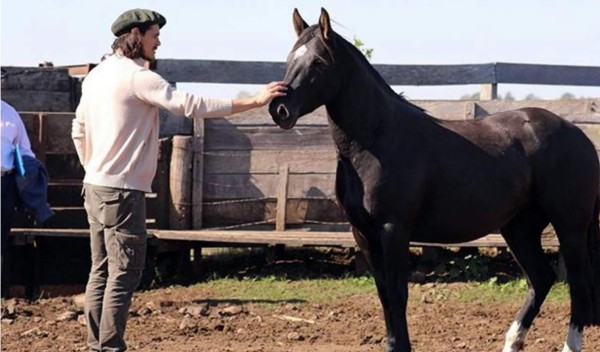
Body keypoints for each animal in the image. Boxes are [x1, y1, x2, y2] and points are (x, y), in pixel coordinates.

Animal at [268, 8, 600, 352]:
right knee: (541, 278)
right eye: (291, 58)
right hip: (519, 227)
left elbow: (398, 295)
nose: (280, 109)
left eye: (318, 62)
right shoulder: (364, 234)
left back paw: (570, 344)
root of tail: (578, 135)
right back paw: (512, 341)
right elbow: (384, 296)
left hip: (569, 227)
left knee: (577, 282)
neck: (377, 140)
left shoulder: (393, 230)